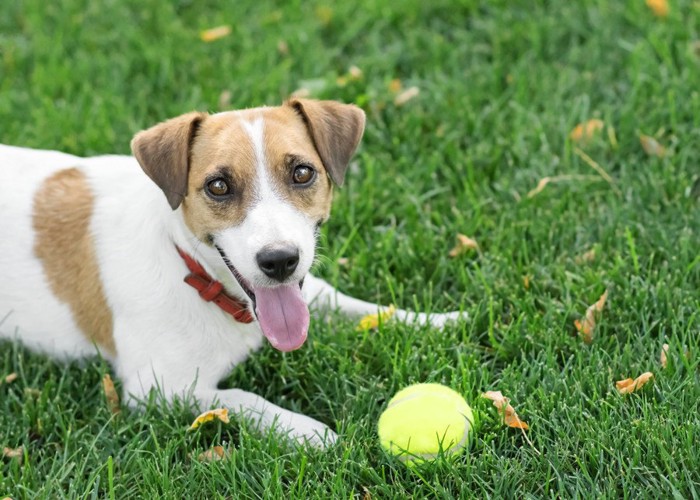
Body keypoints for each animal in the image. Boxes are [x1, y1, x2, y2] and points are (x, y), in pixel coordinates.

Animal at [1, 99, 464, 448]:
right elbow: (240, 397)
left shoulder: (311, 291)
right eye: (218, 186)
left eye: (302, 173)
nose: (279, 261)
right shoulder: (156, 388)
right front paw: (308, 431)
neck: (193, 273)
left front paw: (440, 321)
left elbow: (363, 307)